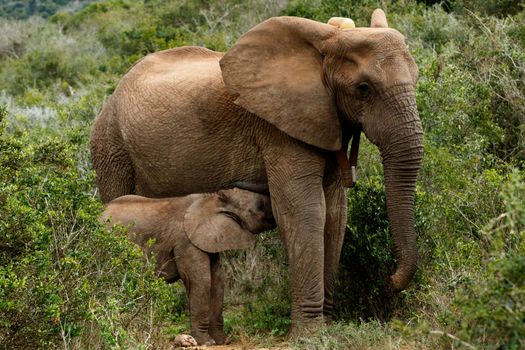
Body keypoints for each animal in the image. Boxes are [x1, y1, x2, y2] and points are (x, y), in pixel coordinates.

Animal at [100, 189, 276, 344]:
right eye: (260, 206)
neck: (213, 198)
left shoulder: (207, 240)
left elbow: (217, 281)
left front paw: (223, 341)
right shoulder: (186, 241)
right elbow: (201, 281)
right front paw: (207, 342)